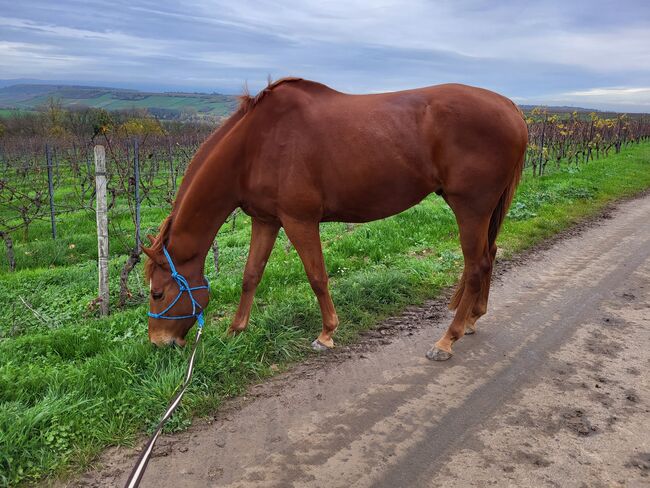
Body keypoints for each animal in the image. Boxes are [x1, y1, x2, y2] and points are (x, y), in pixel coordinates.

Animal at [142, 76, 528, 358]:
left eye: (158, 293)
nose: (159, 343)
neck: (256, 144)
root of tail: (511, 108)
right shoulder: (266, 220)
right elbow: (251, 275)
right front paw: (236, 330)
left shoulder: (299, 220)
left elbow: (317, 276)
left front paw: (326, 333)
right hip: (484, 210)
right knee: (488, 256)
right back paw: (474, 318)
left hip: (471, 207)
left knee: (476, 265)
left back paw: (448, 339)